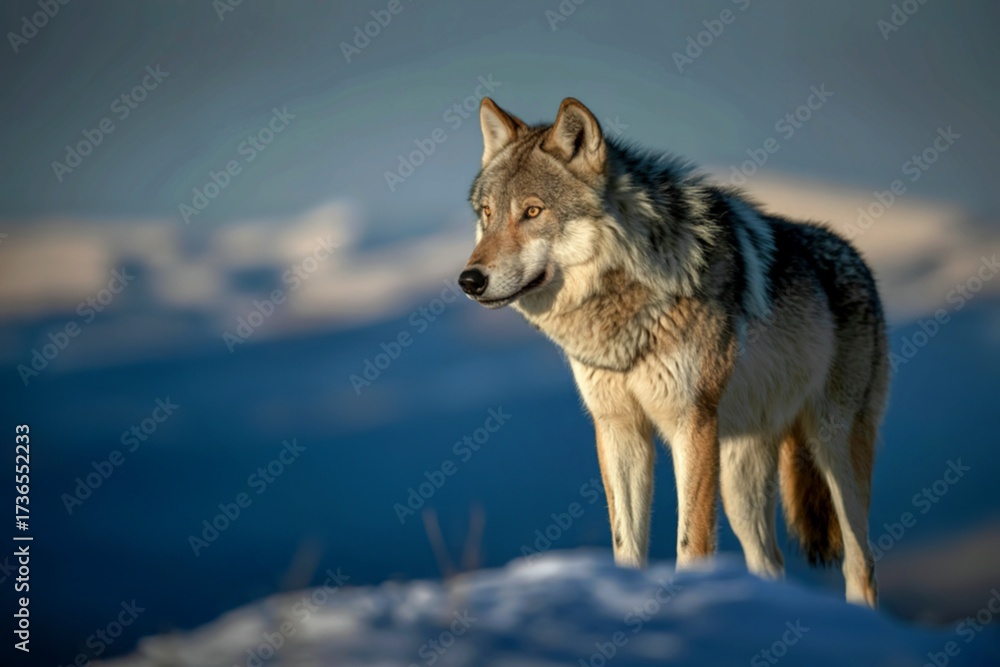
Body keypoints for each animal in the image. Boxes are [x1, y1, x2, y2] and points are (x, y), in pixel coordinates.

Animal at [458, 97, 889, 607]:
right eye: (487, 214)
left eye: (532, 211)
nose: (469, 280)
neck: (625, 312)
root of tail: (859, 260)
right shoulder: (618, 429)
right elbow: (625, 543)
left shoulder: (691, 423)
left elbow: (692, 542)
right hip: (741, 480)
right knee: (770, 562)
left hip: (834, 447)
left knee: (861, 562)